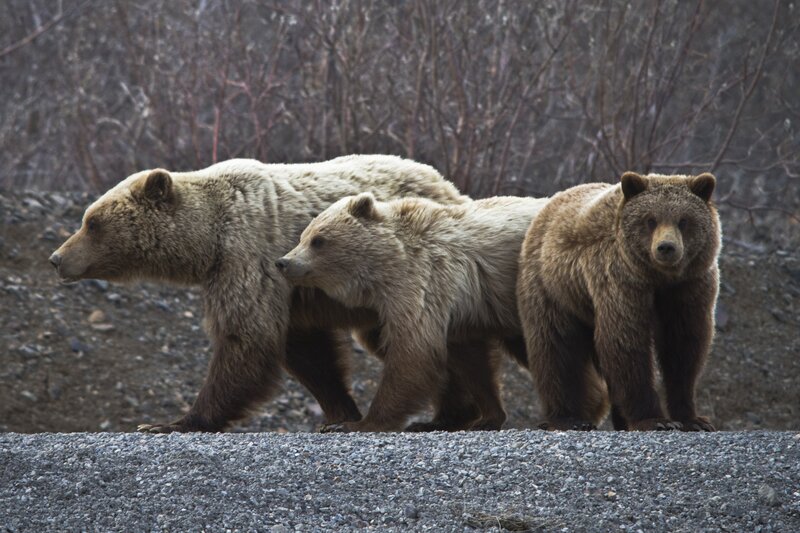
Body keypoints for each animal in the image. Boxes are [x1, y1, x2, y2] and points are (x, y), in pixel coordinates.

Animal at [49, 154, 477, 432]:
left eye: (92, 222)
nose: (56, 258)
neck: (208, 241)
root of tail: (453, 188)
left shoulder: (249, 254)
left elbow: (246, 337)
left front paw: (173, 422)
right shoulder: (289, 291)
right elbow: (307, 353)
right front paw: (340, 411)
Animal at [275, 192, 547, 432]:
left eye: (318, 240)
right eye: (303, 236)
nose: (283, 262)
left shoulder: (424, 282)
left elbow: (413, 351)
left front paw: (357, 423)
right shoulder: (460, 314)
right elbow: (470, 362)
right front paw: (485, 417)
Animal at [516, 172, 720, 432]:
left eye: (683, 220)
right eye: (650, 219)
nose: (666, 247)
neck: (658, 277)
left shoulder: (688, 286)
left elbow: (683, 345)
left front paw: (693, 419)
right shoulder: (619, 280)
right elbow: (626, 342)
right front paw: (655, 419)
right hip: (553, 290)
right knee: (556, 349)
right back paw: (568, 418)